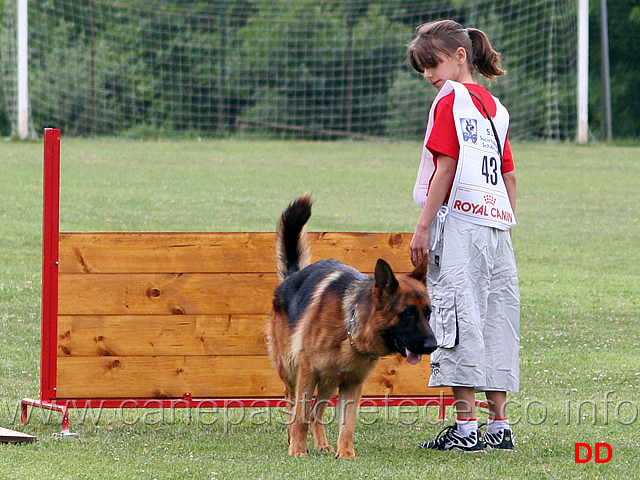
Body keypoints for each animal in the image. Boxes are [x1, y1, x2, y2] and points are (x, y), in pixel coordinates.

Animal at [266, 195, 440, 458]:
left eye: (428, 313)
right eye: (407, 313)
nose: (432, 345)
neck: (350, 326)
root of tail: (291, 277)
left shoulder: (352, 383)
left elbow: (347, 423)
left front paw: (346, 454)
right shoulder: (308, 372)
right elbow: (301, 414)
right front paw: (297, 449)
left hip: (329, 379)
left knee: (317, 412)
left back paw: (322, 443)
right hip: (291, 369)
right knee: (292, 402)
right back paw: (292, 438)